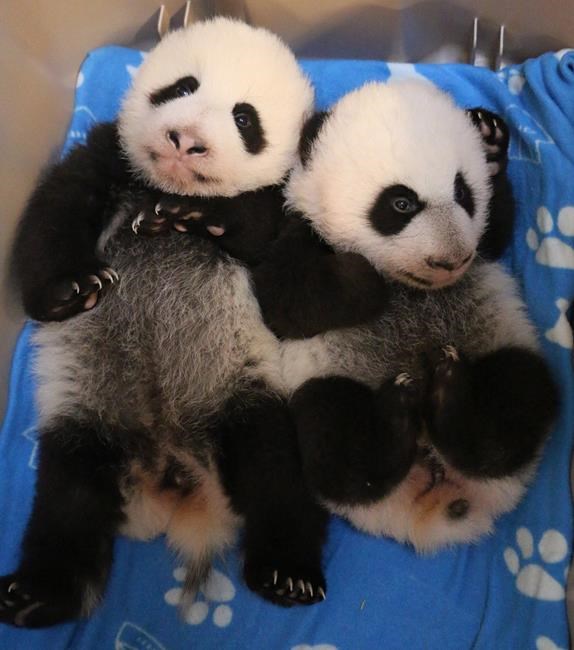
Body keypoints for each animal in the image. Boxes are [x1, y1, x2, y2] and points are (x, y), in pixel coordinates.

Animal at [1, 18, 355, 628]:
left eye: (244, 118)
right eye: (181, 87)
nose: (184, 139)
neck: (164, 189)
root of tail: (170, 471)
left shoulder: (280, 203)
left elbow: (265, 241)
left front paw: (204, 216)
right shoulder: (110, 156)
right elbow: (54, 212)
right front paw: (71, 289)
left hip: (244, 396)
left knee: (277, 476)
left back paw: (287, 574)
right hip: (85, 417)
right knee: (68, 503)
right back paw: (39, 594)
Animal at [274, 80, 560, 552]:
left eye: (463, 194)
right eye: (401, 203)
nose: (452, 261)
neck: (409, 287)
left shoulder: (484, 248)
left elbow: (495, 234)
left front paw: (490, 143)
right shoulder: (298, 229)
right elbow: (289, 305)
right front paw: (364, 279)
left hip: (501, 343)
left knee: (519, 397)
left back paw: (448, 395)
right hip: (327, 380)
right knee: (334, 444)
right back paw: (398, 414)